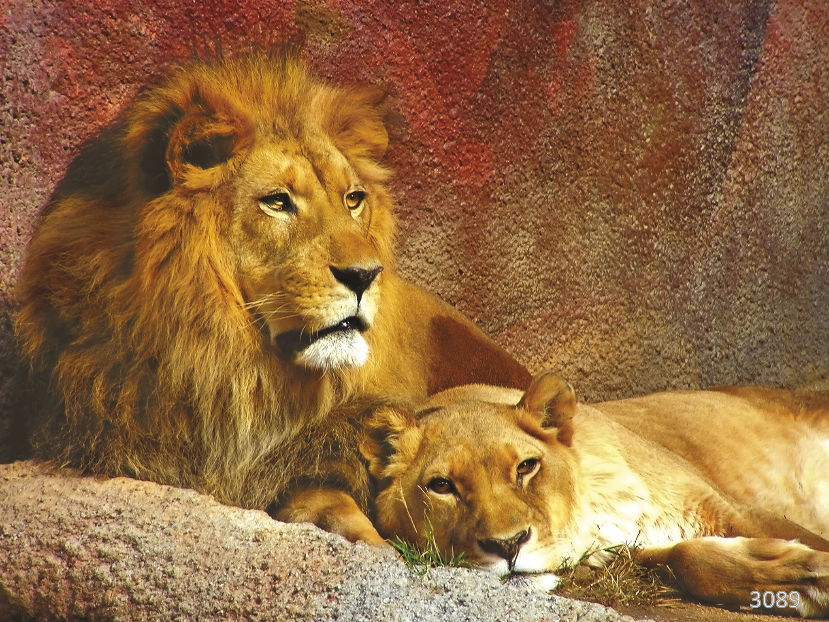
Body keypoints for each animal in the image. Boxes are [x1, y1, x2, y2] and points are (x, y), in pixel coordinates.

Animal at [359, 371, 829, 617]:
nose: (508, 546)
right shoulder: (631, 551)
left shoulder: (727, 507)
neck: (596, 507)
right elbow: (687, 559)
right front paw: (801, 578)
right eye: (442, 486)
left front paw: (813, 572)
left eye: (526, 467)